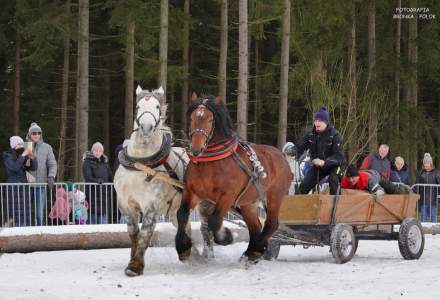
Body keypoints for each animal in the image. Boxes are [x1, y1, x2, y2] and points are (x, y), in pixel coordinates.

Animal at [114, 85, 212, 276]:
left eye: (157, 107)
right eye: (137, 107)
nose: (146, 127)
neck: (141, 164)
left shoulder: (151, 205)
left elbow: (145, 234)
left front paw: (135, 266)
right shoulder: (124, 204)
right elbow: (133, 233)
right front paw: (132, 260)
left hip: (205, 204)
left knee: (207, 229)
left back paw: (206, 255)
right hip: (176, 211)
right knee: (185, 227)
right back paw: (189, 253)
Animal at [175, 94, 292, 262]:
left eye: (210, 120)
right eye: (191, 118)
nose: (196, 149)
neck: (211, 162)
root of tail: (281, 156)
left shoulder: (227, 196)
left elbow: (214, 221)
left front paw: (226, 237)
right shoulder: (192, 192)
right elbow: (182, 214)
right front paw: (183, 248)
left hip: (275, 196)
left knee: (271, 224)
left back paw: (256, 249)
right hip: (249, 203)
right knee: (256, 227)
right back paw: (251, 252)